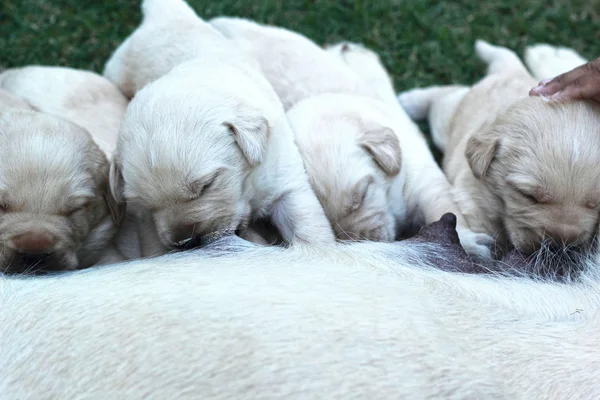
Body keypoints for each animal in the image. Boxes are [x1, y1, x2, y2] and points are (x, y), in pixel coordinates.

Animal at [105, 0, 336, 256]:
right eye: (147, 203)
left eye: (207, 185)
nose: (185, 242)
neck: (248, 184)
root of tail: (163, 13)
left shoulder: (284, 177)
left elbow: (304, 221)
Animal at [396, 40, 600, 253]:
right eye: (528, 196)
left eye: (595, 204)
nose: (560, 245)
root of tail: (513, 70)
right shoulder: (472, 199)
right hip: (446, 119)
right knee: (445, 95)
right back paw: (410, 101)